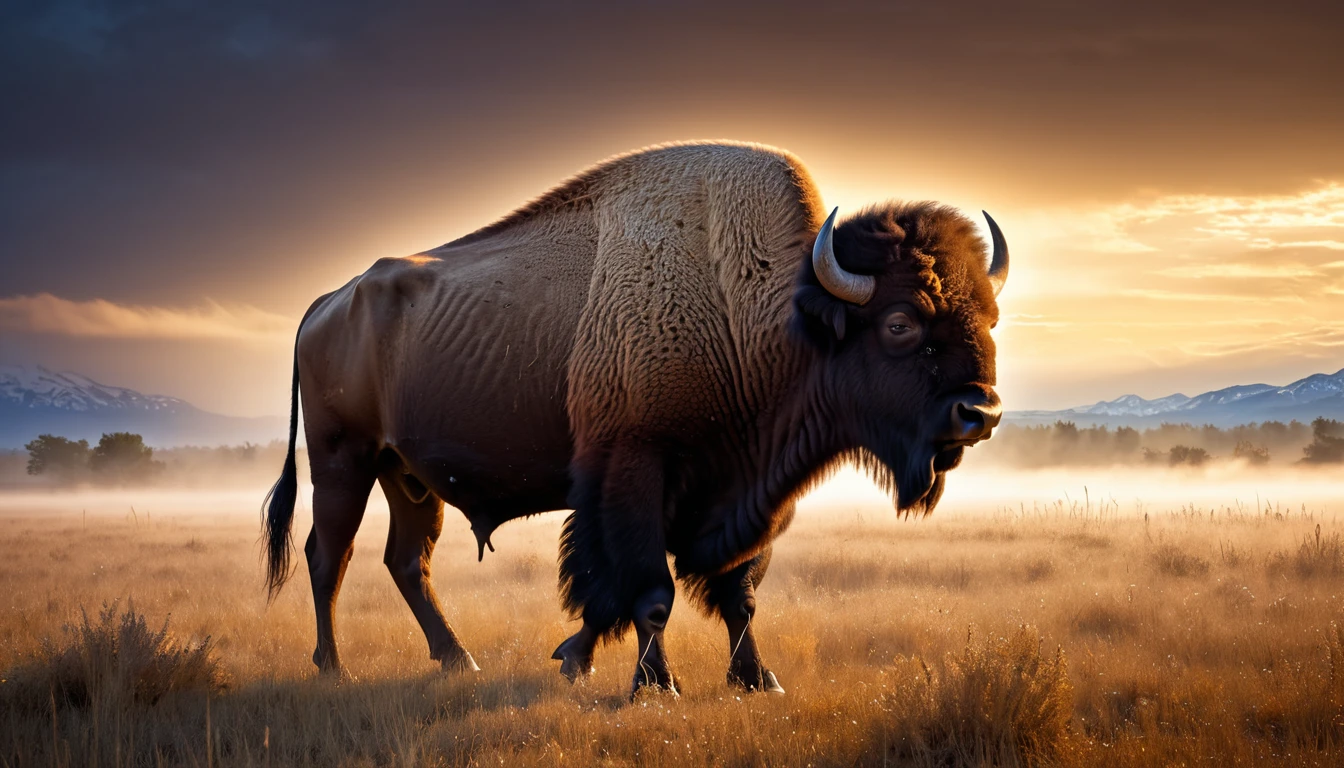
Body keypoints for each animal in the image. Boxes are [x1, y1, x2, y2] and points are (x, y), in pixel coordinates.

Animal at [263, 141, 1006, 696]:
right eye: (900, 322)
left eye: (990, 317)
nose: (981, 411)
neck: (762, 313)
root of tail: (327, 302)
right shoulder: (634, 470)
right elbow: (650, 589)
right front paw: (655, 685)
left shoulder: (749, 490)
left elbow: (736, 591)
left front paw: (755, 680)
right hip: (344, 460)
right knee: (329, 555)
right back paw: (334, 668)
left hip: (408, 477)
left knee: (406, 560)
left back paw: (457, 660)